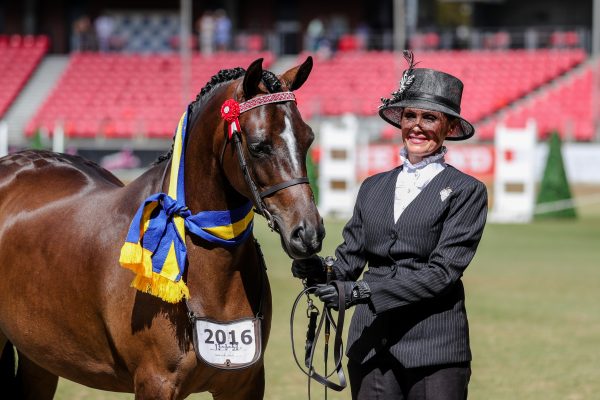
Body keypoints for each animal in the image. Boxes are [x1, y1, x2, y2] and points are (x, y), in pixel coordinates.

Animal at [0, 54, 324, 398]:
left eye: (308, 139)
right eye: (259, 146)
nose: (308, 233)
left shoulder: (244, 384)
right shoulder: (155, 383)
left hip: (41, 360)